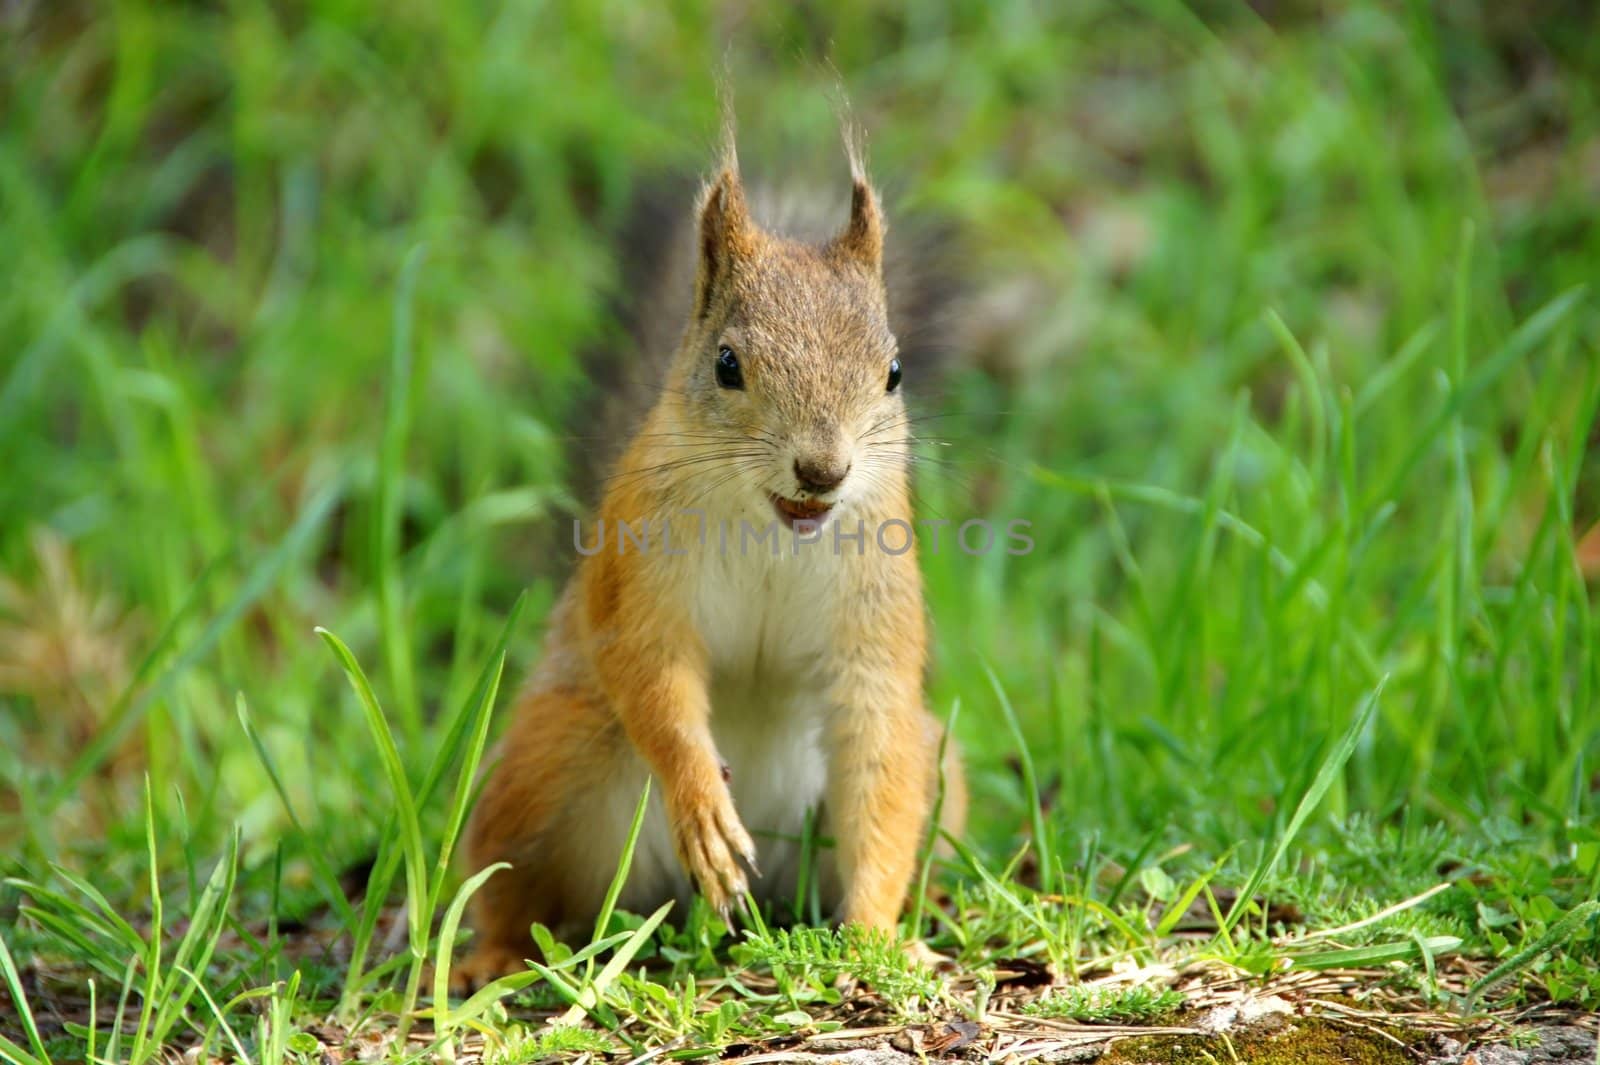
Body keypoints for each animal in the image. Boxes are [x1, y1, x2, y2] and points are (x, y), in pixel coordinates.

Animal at [457, 119, 966, 985]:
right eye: (728, 364)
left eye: (895, 371)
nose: (822, 468)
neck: (774, 531)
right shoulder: (639, 572)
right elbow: (650, 674)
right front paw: (702, 808)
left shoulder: (874, 611)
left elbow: (880, 756)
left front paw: (873, 935)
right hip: (546, 765)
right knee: (511, 883)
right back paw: (493, 952)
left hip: (941, 775)